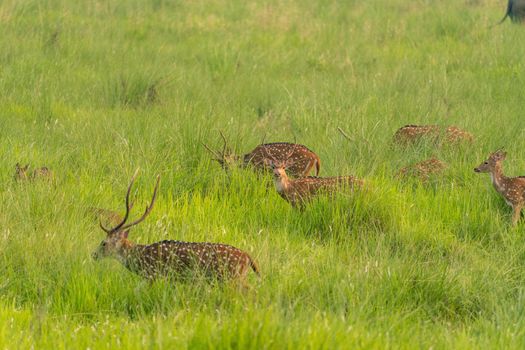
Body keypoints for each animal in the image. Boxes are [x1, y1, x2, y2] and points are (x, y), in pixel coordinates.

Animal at [92, 171, 260, 286]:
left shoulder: (155, 275)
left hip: (232, 277)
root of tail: (248, 257)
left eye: (103, 243)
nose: (93, 255)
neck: (140, 259)